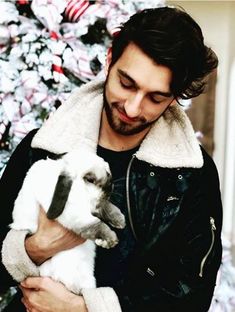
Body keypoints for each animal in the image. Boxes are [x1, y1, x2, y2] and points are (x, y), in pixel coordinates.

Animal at [10, 150, 126, 294]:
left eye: (108, 173)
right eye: (90, 180)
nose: (110, 187)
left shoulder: (95, 204)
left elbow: (107, 206)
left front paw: (120, 220)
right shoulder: (75, 213)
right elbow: (94, 224)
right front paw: (109, 240)